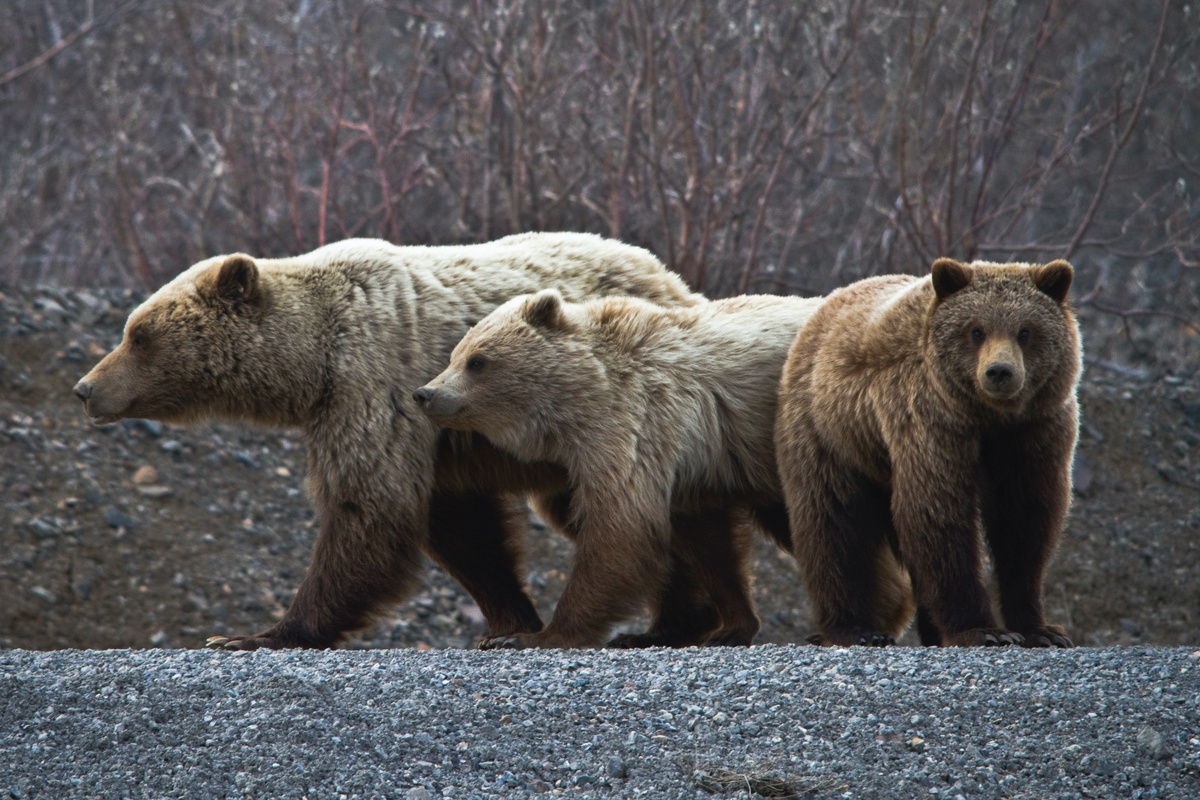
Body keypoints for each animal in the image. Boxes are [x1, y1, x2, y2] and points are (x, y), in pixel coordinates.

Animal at [415, 291, 825, 647]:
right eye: (454, 355)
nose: (425, 393)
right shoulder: (694, 469)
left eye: (477, 360)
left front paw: (533, 636)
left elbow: (620, 528)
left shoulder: (637, 422)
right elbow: (706, 542)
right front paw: (725, 626)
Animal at [772, 260, 1084, 647]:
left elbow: (1024, 519)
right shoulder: (930, 421)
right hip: (831, 436)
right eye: (976, 330)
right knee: (834, 526)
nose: (999, 372)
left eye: (1025, 331)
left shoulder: (1033, 430)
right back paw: (855, 628)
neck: (988, 416)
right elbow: (938, 513)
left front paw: (1041, 629)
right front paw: (983, 630)